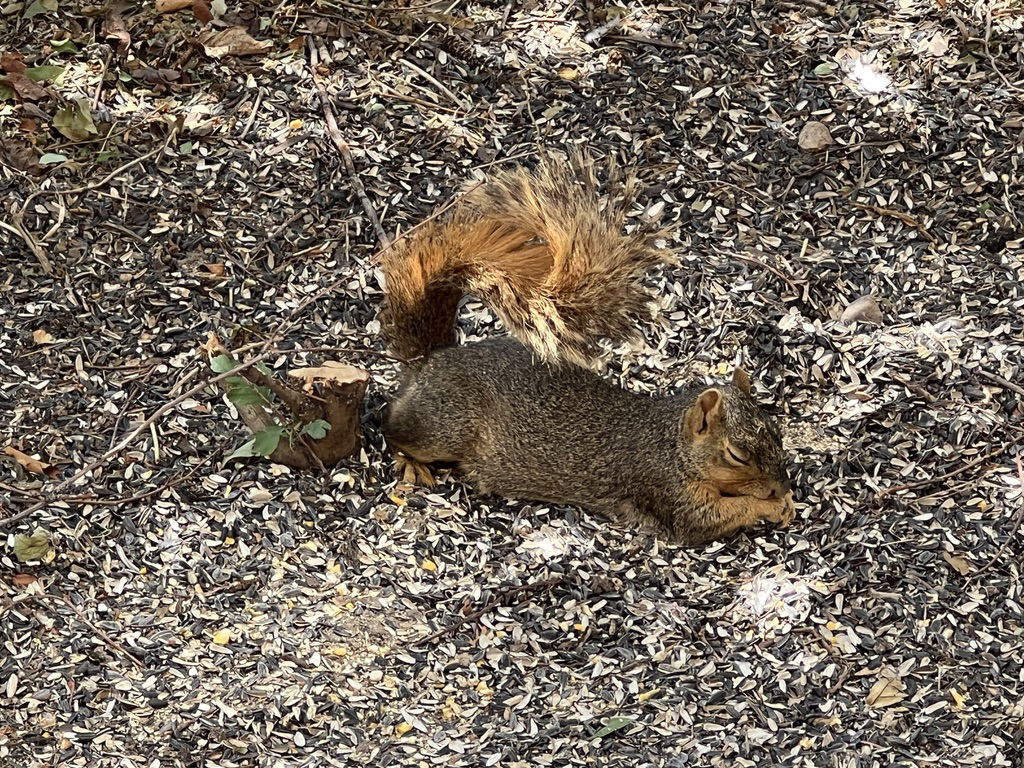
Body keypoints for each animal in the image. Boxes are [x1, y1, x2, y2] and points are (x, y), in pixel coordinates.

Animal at [380, 156, 794, 548]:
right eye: (736, 455)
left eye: (777, 433)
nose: (782, 486)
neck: (672, 443)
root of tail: (432, 360)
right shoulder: (665, 489)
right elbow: (712, 517)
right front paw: (771, 505)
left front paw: (783, 502)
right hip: (443, 425)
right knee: (393, 427)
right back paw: (409, 463)